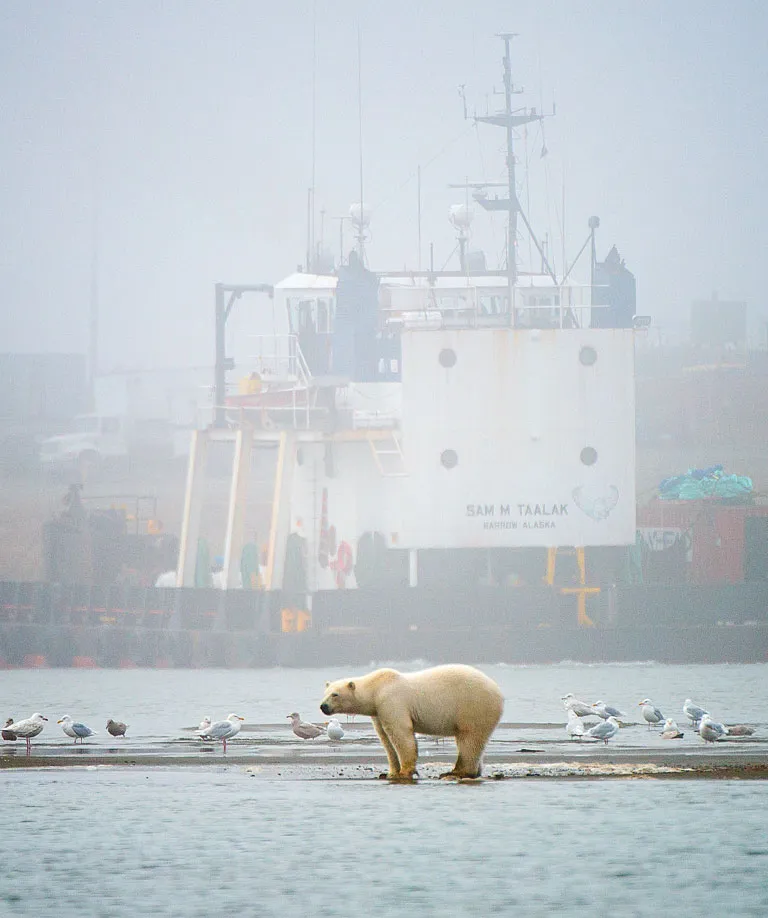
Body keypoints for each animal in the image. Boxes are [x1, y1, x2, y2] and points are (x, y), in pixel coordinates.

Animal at [320, 664, 504, 781]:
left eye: (335, 694)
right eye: (325, 692)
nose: (323, 706)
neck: (376, 687)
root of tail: (498, 691)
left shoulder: (391, 701)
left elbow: (400, 733)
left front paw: (405, 772)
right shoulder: (378, 711)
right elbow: (385, 737)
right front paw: (390, 772)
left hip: (473, 707)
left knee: (469, 739)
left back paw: (456, 772)